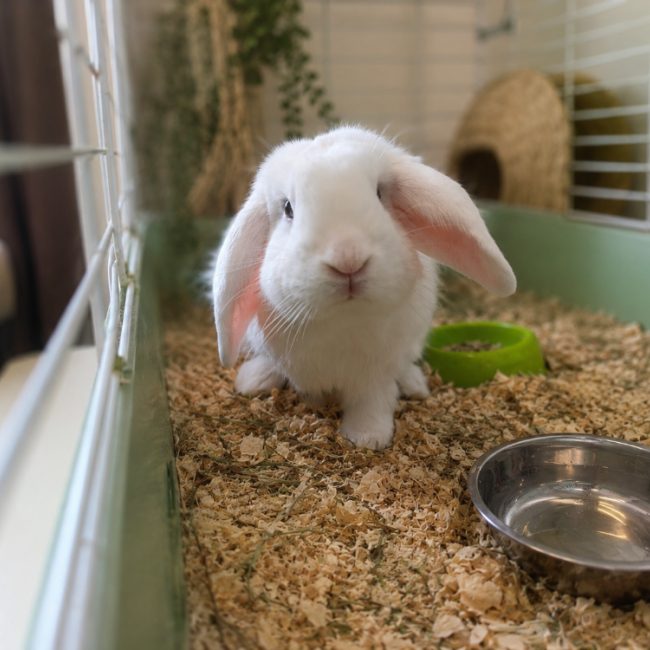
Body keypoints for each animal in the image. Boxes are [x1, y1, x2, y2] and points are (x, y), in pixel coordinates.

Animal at [212, 126, 516, 450]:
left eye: (380, 194)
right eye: (288, 208)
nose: (348, 260)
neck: (345, 318)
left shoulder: (376, 374)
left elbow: (373, 401)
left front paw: (368, 438)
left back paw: (415, 385)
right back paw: (252, 381)